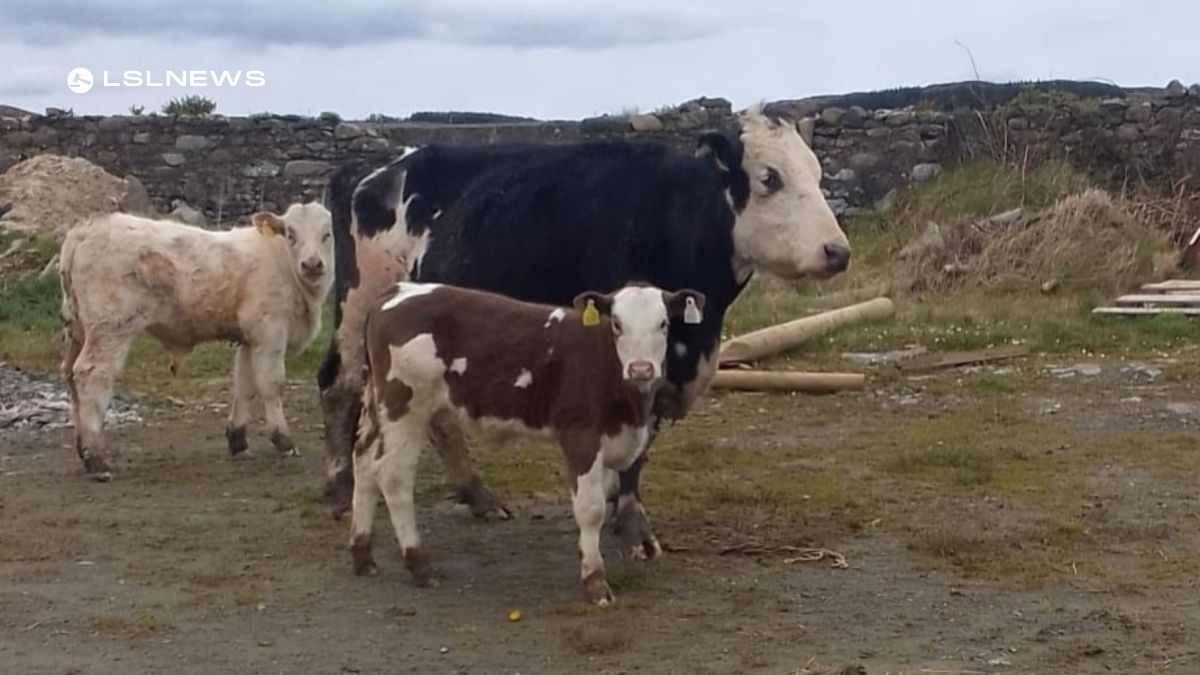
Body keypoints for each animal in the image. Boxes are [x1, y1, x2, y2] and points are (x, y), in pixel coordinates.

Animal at [59, 200, 333, 478]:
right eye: (290, 234)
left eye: (327, 234)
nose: (312, 264)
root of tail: (87, 229)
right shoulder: (270, 331)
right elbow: (271, 384)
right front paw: (284, 441)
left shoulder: (249, 336)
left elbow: (244, 385)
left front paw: (238, 441)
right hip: (110, 328)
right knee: (93, 375)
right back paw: (96, 459)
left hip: (79, 329)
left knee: (70, 373)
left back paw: (83, 449)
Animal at [314, 106, 849, 557]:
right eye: (769, 178)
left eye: (818, 174)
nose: (837, 251)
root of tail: (369, 169)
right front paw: (633, 528)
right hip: (359, 304)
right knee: (338, 384)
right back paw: (339, 487)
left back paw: (478, 495)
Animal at [348, 281, 700, 600]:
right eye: (616, 324)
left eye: (664, 323)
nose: (641, 369)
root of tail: (396, 291)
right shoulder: (580, 437)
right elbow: (590, 509)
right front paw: (595, 581)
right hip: (405, 408)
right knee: (394, 477)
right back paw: (419, 564)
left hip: (377, 406)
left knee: (363, 462)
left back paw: (363, 555)